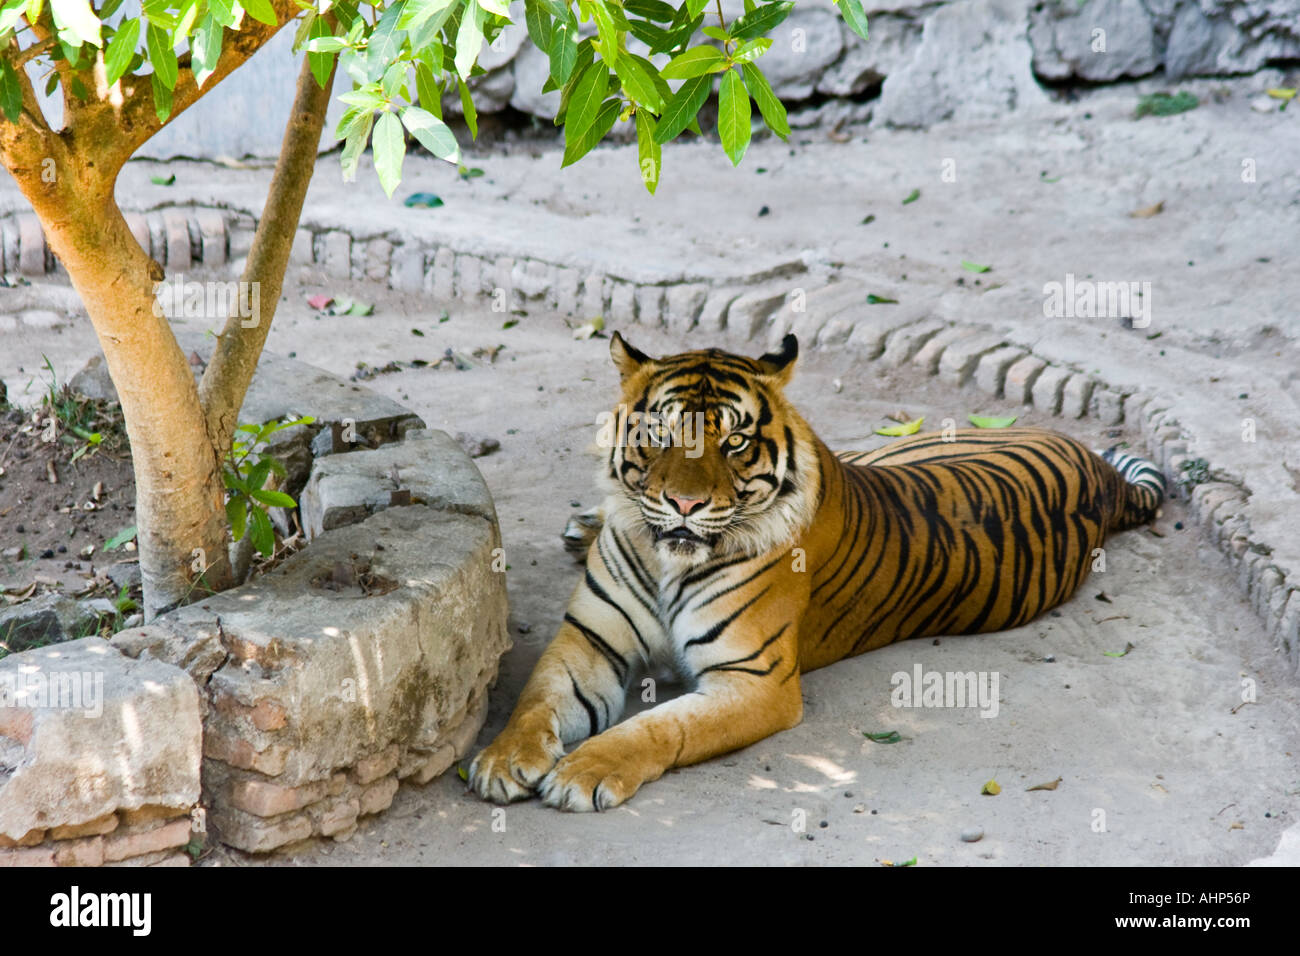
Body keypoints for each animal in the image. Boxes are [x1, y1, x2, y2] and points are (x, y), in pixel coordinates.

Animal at [470, 332, 1170, 811]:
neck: (666, 556)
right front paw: (501, 760)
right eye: (663, 434)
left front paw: (583, 771)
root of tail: (1100, 474)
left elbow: (661, 725)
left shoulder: (754, 679)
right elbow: (536, 699)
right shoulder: (587, 640)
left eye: (734, 442)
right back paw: (583, 525)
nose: (685, 505)